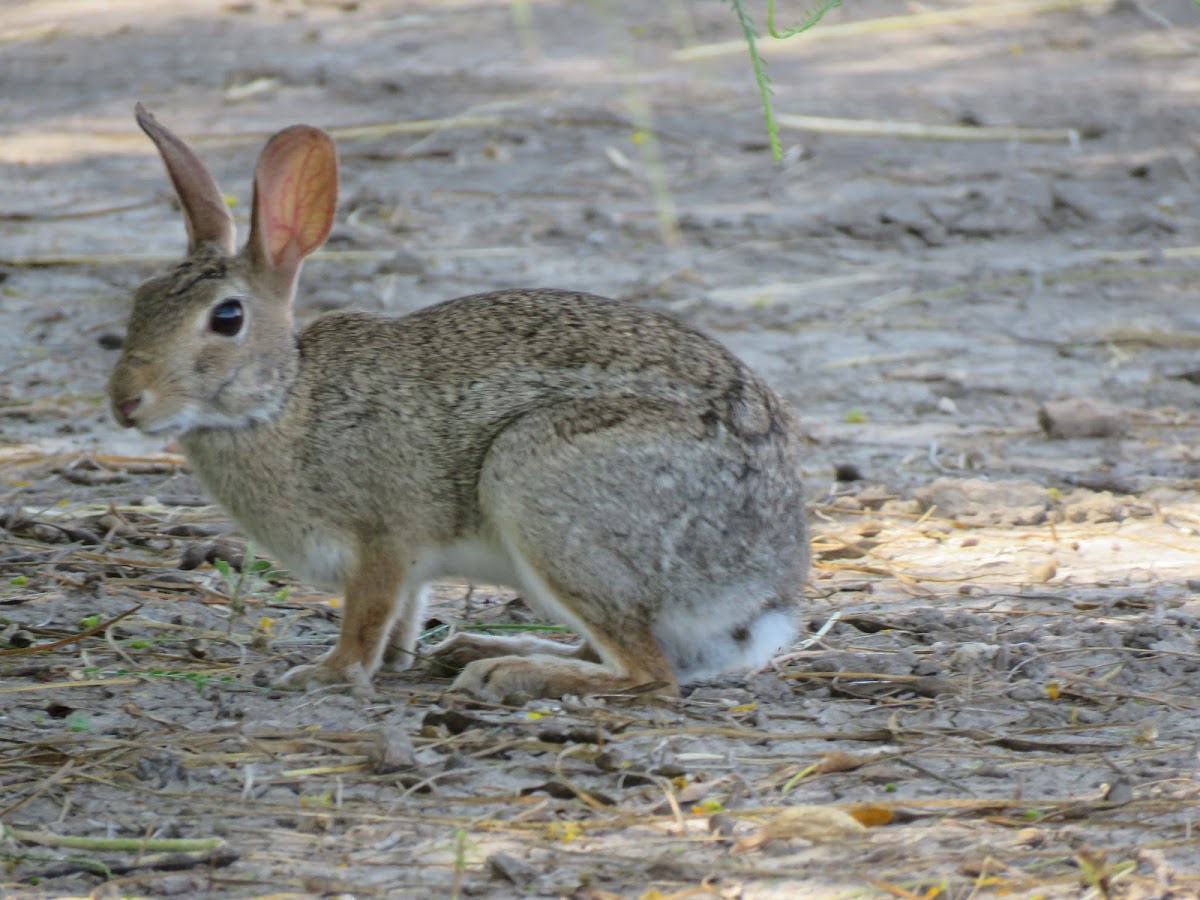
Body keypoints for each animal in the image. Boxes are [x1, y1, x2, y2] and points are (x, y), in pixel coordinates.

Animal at [108, 102, 811, 700]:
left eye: (226, 318)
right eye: (141, 298)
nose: (126, 402)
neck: (283, 399)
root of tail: (764, 590)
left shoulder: (383, 538)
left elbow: (365, 618)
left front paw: (327, 673)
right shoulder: (407, 569)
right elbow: (399, 620)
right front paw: (390, 663)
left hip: (540, 487)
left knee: (649, 675)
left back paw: (510, 674)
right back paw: (480, 649)